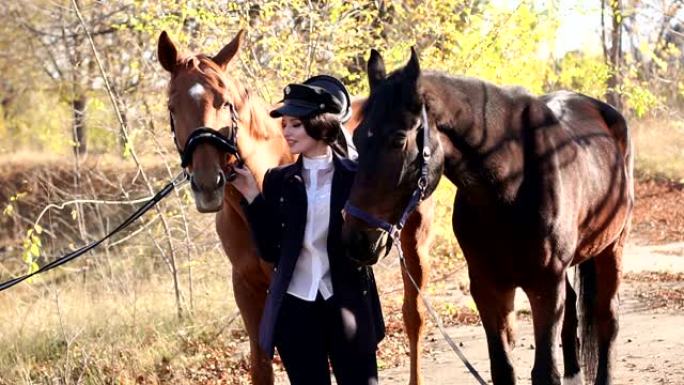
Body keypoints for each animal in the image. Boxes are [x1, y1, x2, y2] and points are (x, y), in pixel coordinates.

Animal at [159, 30, 432, 384]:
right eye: (172, 106)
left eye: (225, 102)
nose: (207, 184)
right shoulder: (247, 287)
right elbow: (261, 367)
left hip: (414, 242)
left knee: (414, 316)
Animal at [342, 48, 636, 384]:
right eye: (358, 138)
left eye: (398, 139)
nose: (356, 240)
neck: (511, 184)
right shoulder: (486, 287)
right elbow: (502, 369)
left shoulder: (545, 287)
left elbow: (544, 372)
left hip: (612, 247)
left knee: (607, 319)